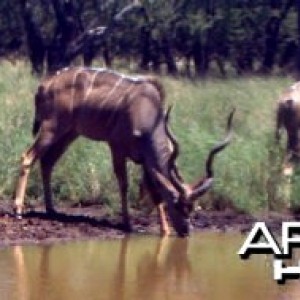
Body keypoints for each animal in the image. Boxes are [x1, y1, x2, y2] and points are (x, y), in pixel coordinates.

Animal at [13, 67, 234, 237]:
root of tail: (44, 84)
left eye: (193, 208)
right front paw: (127, 223)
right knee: (27, 156)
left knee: (48, 161)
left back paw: (51, 209)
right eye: (176, 204)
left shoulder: (146, 161)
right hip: (51, 127)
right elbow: (124, 184)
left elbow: (154, 191)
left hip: (69, 133)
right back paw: (18, 209)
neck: (146, 113)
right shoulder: (116, 147)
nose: (186, 231)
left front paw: (164, 231)